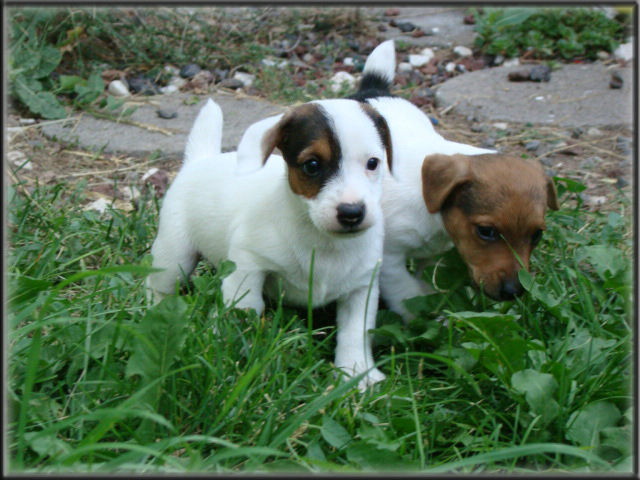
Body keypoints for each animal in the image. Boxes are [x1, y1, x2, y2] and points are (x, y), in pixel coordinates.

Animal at [147, 97, 392, 386]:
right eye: (312, 165)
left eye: (373, 163)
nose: (352, 212)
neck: (323, 240)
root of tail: (199, 160)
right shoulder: (247, 264)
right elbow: (246, 307)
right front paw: (235, 350)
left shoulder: (362, 287)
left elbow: (356, 331)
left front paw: (357, 372)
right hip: (175, 254)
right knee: (157, 282)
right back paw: (155, 309)